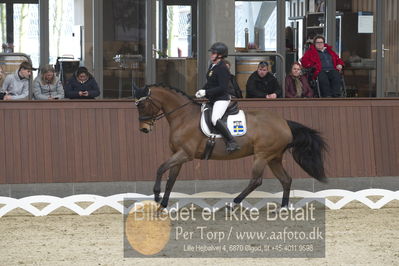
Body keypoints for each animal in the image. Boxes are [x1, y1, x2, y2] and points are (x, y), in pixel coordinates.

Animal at [134, 84, 328, 209]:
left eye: (142, 104)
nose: (143, 129)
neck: (183, 117)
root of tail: (285, 123)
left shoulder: (185, 154)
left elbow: (160, 168)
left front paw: (156, 195)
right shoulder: (178, 155)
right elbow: (171, 179)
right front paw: (163, 204)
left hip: (262, 155)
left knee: (256, 180)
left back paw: (233, 203)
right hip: (274, 158)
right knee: (286, 179)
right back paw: (283, 207)